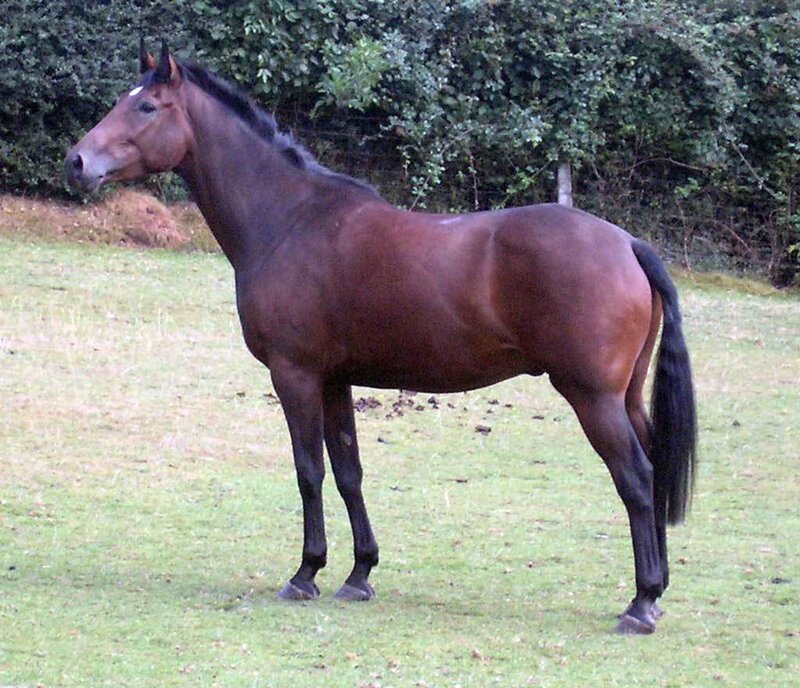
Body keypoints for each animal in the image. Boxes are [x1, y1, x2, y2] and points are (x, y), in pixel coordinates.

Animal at [65, 42, 696, 634]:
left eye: (146, 106)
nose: (76, 162)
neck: (289, 219)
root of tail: (626, 244)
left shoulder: (294, 375)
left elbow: (309, 471)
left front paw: (305, 573)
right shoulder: (335, 381)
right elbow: (349, 472)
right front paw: (359, 573)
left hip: (592, 398)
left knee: (637, 478)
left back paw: (640, 604)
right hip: (625, 397)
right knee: (655, 468)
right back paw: (658, 593)